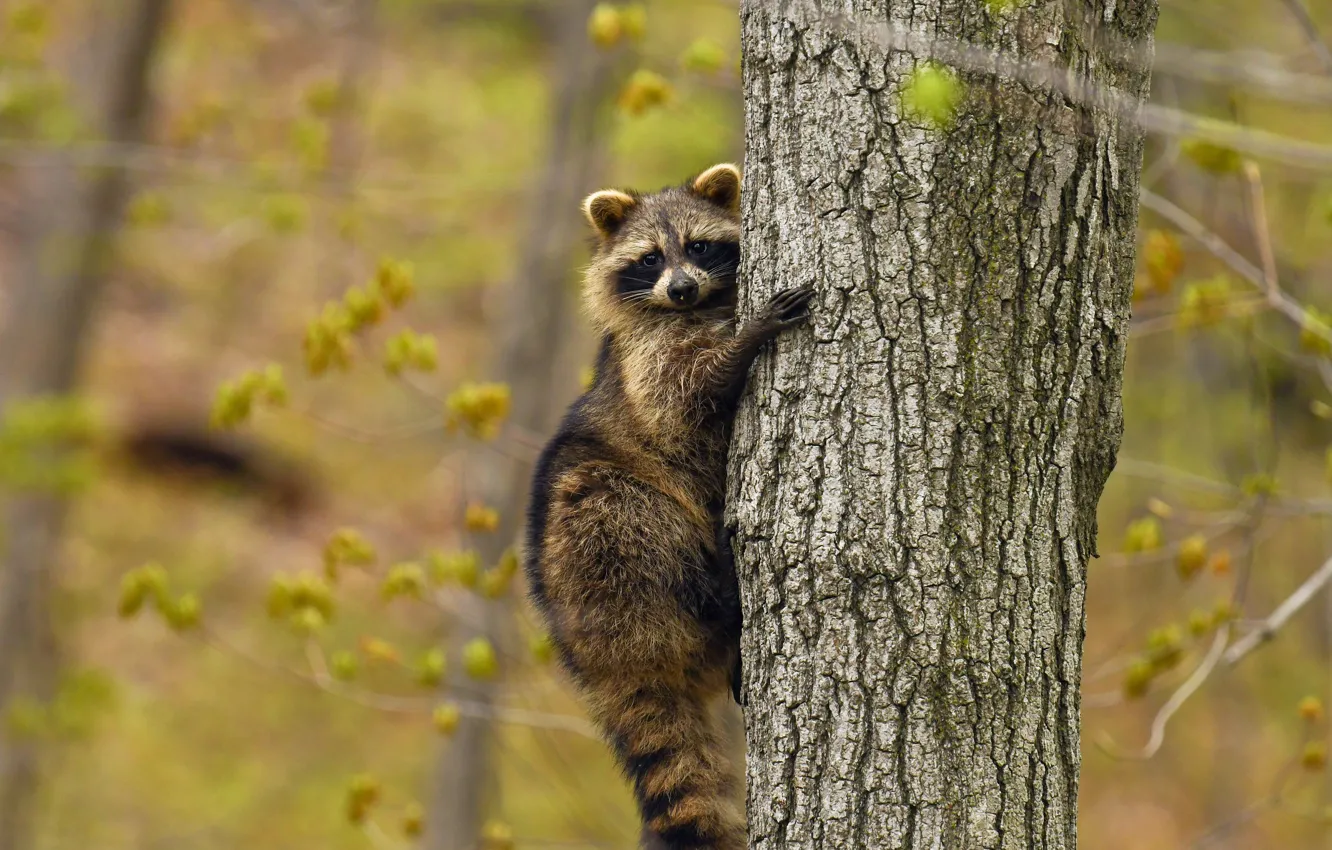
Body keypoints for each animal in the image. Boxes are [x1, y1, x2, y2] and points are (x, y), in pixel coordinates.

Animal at [524, 164, 813, 849]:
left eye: (699, 246)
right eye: (650, 258)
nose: (680, 289)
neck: (700, 308)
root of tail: (605, 665)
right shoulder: (645, 356)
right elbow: (683, 394)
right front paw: (747, 340)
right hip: (592, 548)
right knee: (627, 516)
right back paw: (721, 595)